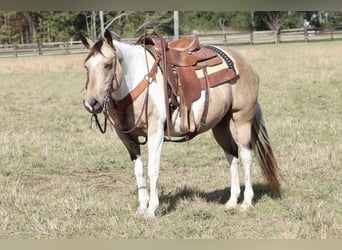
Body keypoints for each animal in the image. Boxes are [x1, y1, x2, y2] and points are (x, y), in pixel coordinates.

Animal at [80, 29, 280, 219]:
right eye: (86, 67)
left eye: (107, 65)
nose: (91, 103)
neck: (137, 80)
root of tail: (244, 62)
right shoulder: (127, 137)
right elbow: (138, 172)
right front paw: (142, 208)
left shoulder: (156, 132)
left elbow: (153, 169)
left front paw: (152, 209)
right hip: (220, 125)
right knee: (232, 153)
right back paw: (232, 201)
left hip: (242, 119)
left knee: (246, 155)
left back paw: (246, 202)